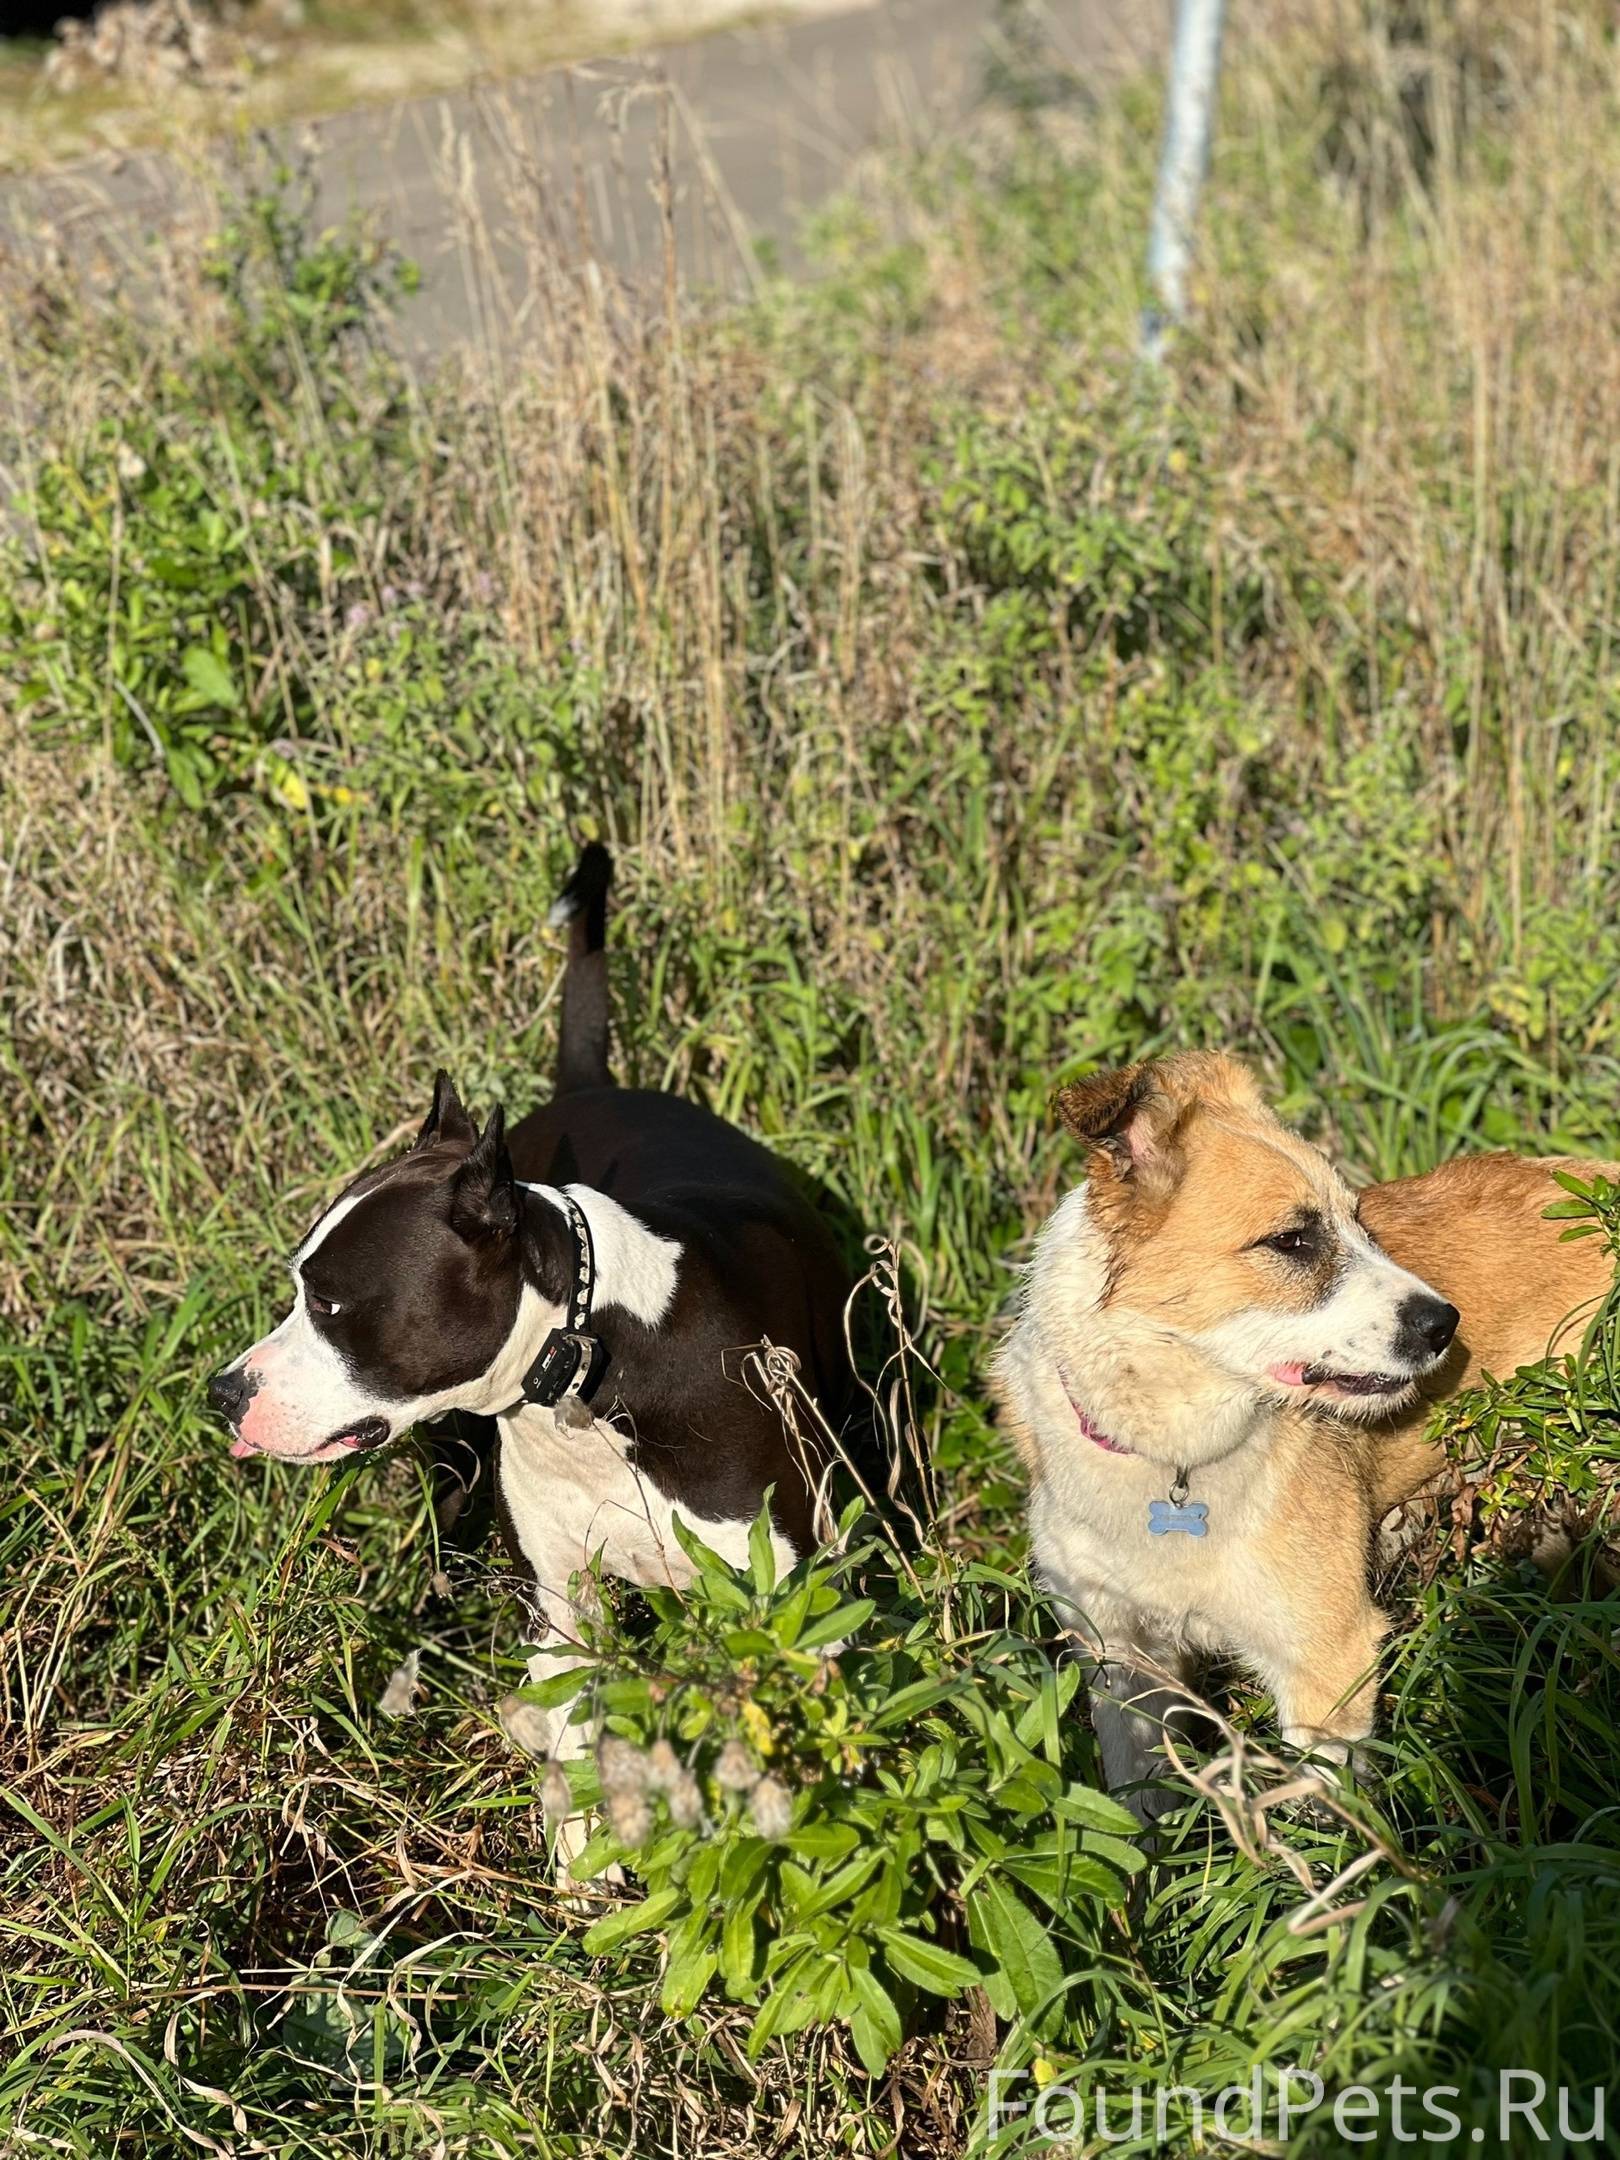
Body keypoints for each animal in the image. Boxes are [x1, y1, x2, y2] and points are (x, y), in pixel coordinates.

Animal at [209, 842, 855, 1857]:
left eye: (332, 1301)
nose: (225, 1393)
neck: (585, 1363)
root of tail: (589, 1086)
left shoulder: (794, 1601)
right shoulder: (563, 1603)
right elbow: (578, 1746)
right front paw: (586, 1867)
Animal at [997, 1054, 1615, 1814]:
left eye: (1361, 1223)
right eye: (1292, 1240)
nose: (1446, 1325)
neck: (1175, 1458)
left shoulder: (1326, 1662)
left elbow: (1327, 1826)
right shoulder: (1122, 1661)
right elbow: (1136, 1813)